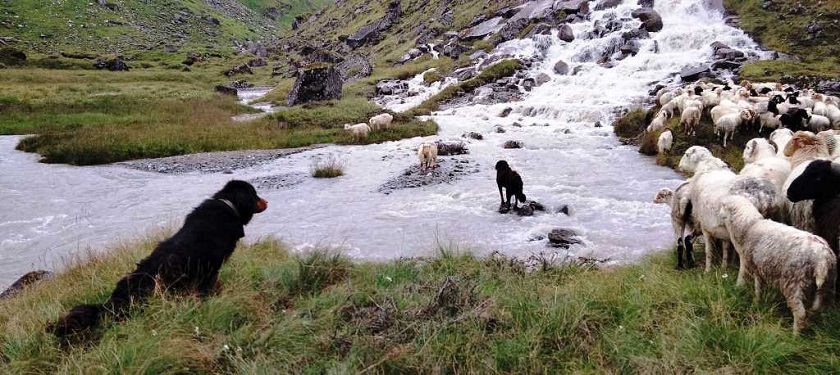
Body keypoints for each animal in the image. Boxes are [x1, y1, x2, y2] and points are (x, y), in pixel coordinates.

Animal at [46, 181, 270, 344]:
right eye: (255, 194)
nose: (267, 201)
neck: (228, 206)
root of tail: (111, 302)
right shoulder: (210, 269)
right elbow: (212, 286)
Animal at [720, 194, 836, 334]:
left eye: (723, 206)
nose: (718, 215)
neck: (749, 227)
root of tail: (822, 256)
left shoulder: (748, 262)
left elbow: (745, 278)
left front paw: (740, 291)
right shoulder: (759, 266)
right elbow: (758, 285)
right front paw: (757, 300)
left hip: (793, 281)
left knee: (800, 313)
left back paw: (795, 334)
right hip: (825, 283)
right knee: (817, 304)